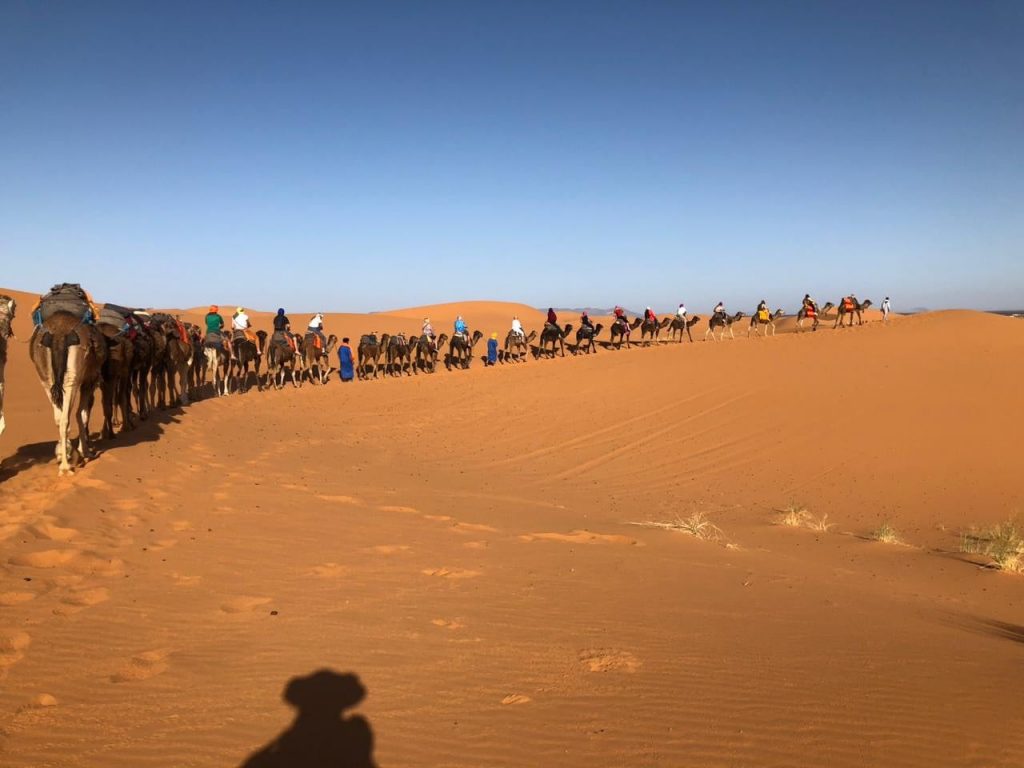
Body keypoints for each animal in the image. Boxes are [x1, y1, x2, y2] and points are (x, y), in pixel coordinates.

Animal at [29, 313, 108, 475]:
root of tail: (59, 333)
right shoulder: (89, 382)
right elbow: (82, 415)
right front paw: (85, 452)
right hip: (73, 377)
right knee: (67, 418)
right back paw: (66, 467)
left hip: (46, 377)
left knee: (59, 419)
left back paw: (63, 458)